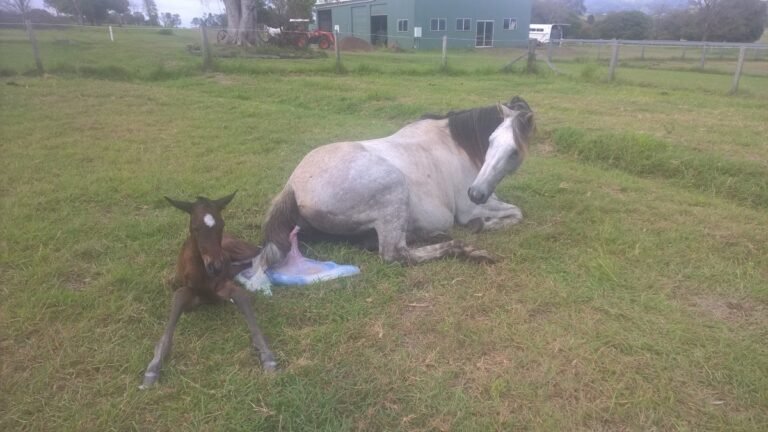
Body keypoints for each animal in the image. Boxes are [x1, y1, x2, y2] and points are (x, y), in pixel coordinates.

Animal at [140, 192, 277, 389]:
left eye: (221, 224)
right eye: (195, 227)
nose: (216, 266)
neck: (202, 273)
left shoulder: (222, 285)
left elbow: (241, 296)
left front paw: (267, 357)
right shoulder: (189, 291)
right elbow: (178, 298)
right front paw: (152, 369)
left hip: (239, 250)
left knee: (261, 252)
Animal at [254, 97, 534, 268]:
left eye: (513, 151)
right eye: (490, 141)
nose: (475, 193)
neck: (458, 145)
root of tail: (292, 187)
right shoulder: (469, 209)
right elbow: (517, 213)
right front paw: (481, 226)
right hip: (395, 190)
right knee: (396, 253)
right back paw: (464, 249)